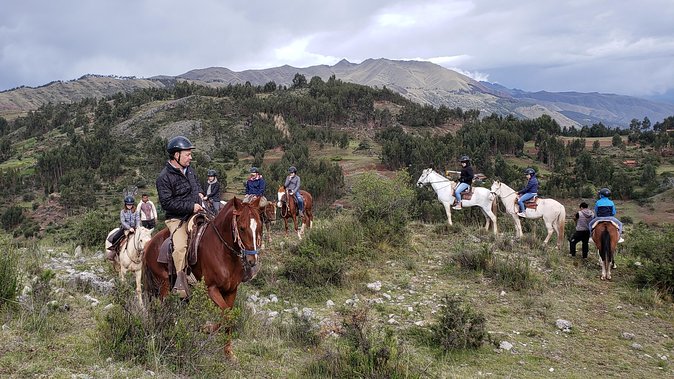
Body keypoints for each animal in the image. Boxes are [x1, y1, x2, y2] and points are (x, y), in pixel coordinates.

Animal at [143, 197, 262, 358]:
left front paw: (228, 352)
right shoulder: (211, 289)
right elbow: (227, 316)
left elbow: (228, 317)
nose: (252, 260)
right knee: (162, 310)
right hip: (163, 286)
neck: (222, 251)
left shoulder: (231, 290)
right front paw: (206, 329)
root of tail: (149, 245)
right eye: (242, 228)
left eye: (259, 226)